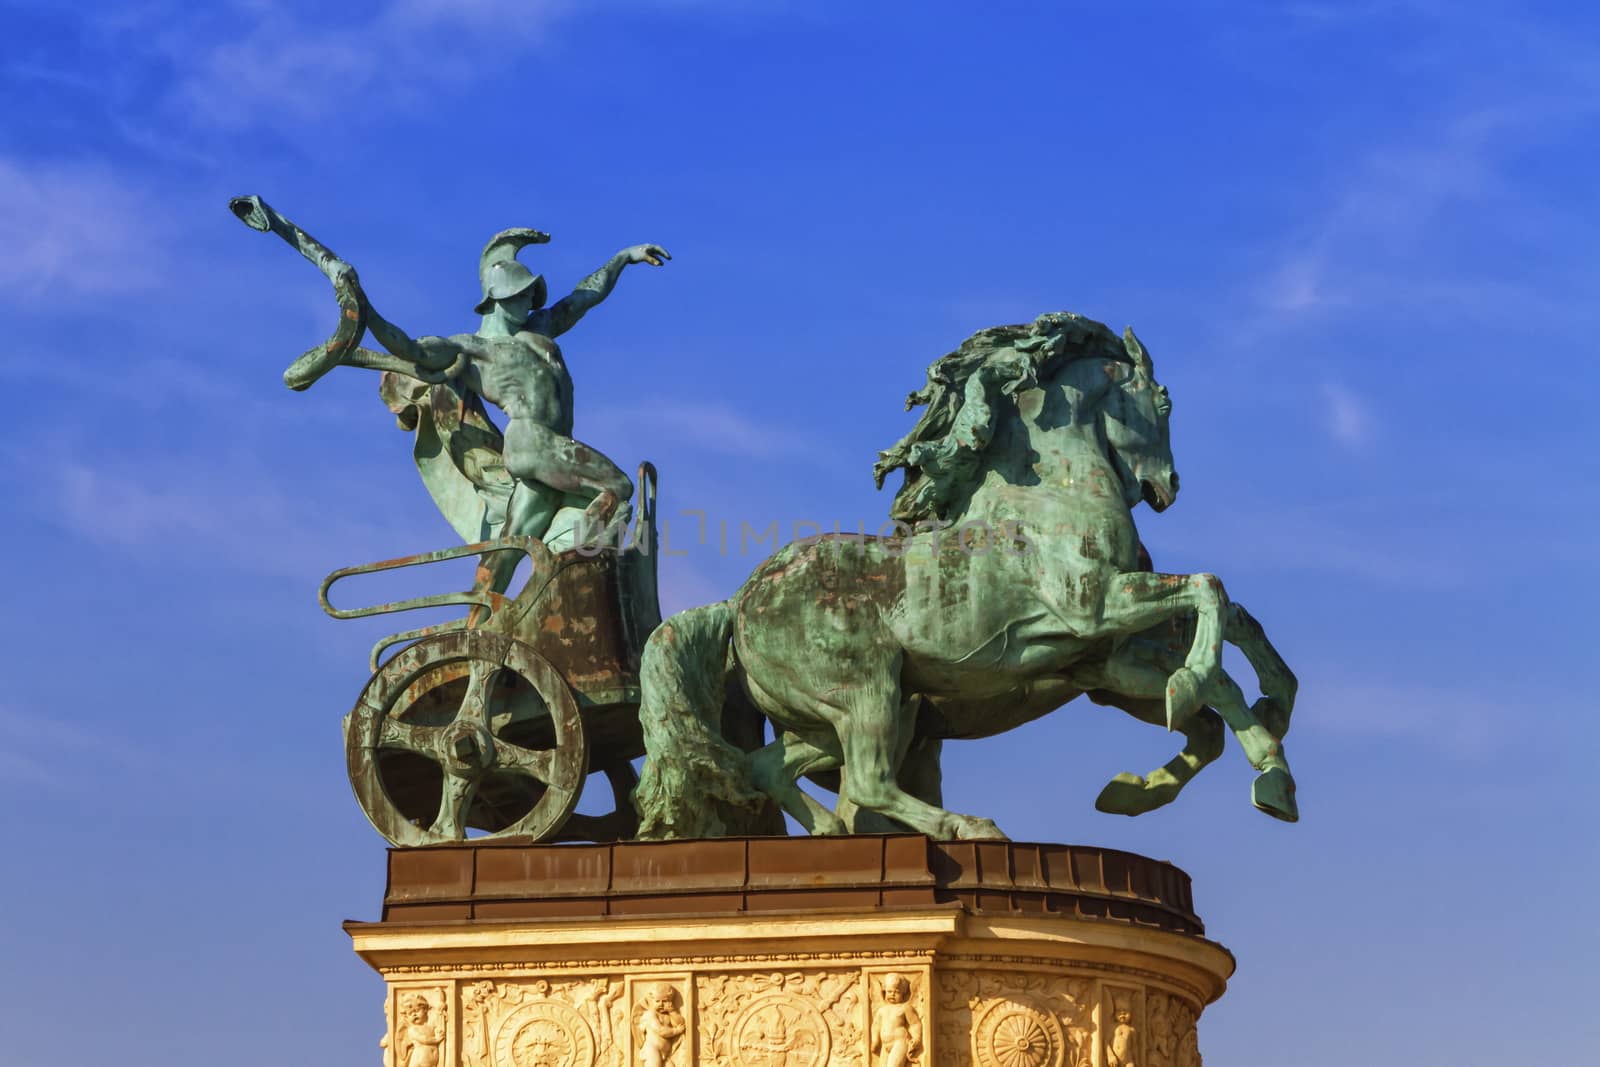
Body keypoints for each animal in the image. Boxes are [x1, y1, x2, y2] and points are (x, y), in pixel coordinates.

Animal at [630, 313, 1292, 838]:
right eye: (1165, 403)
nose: (1167, 486)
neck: (1050, 497)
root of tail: (738, 602)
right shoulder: (1097, 608)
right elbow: (1209, 593)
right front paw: (1197, 694)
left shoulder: (1105, 657)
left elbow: (1223, 666)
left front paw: (1262, 773)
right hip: (867, 693)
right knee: (866, 782)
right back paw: (968, 827)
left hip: (833, 715)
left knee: (769, 768)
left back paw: (835, 836)